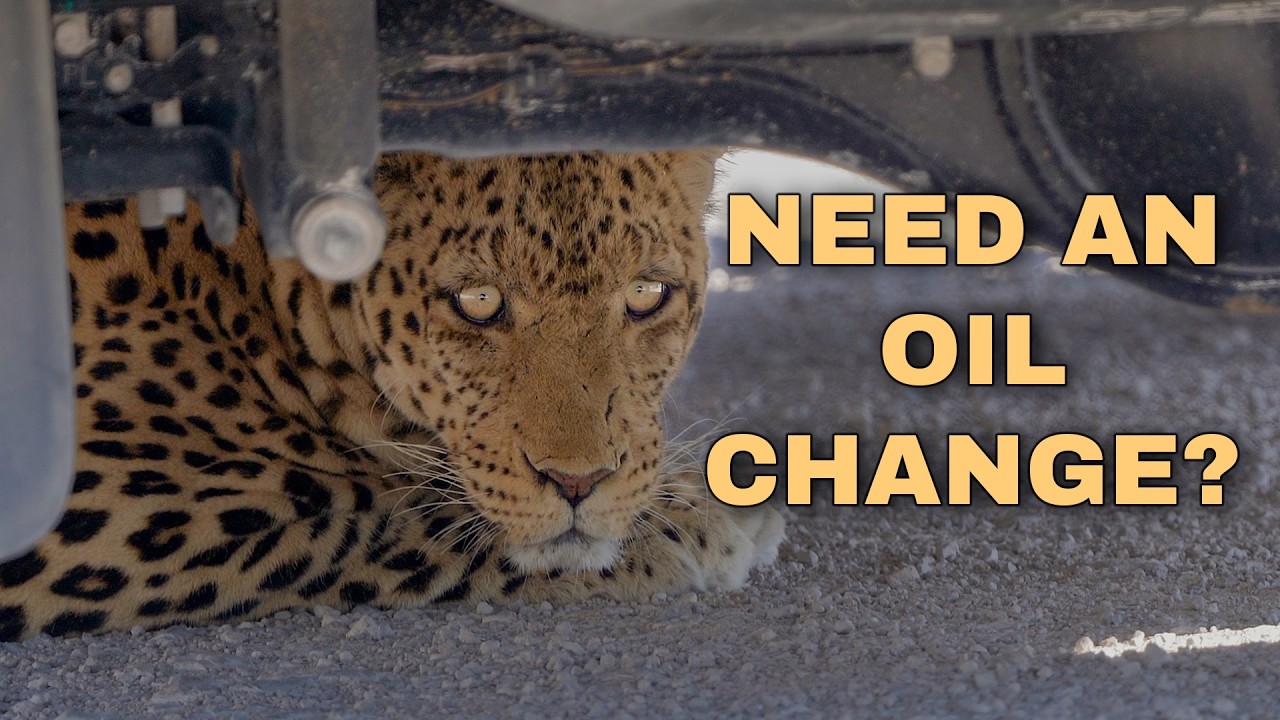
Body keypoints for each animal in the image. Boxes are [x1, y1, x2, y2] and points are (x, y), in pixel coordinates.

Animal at [0, 150, 784, 641]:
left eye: (648, 295)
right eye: (477, 301)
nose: (578, 480)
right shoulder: (89, 502)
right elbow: (379, 512)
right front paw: (699, 520)